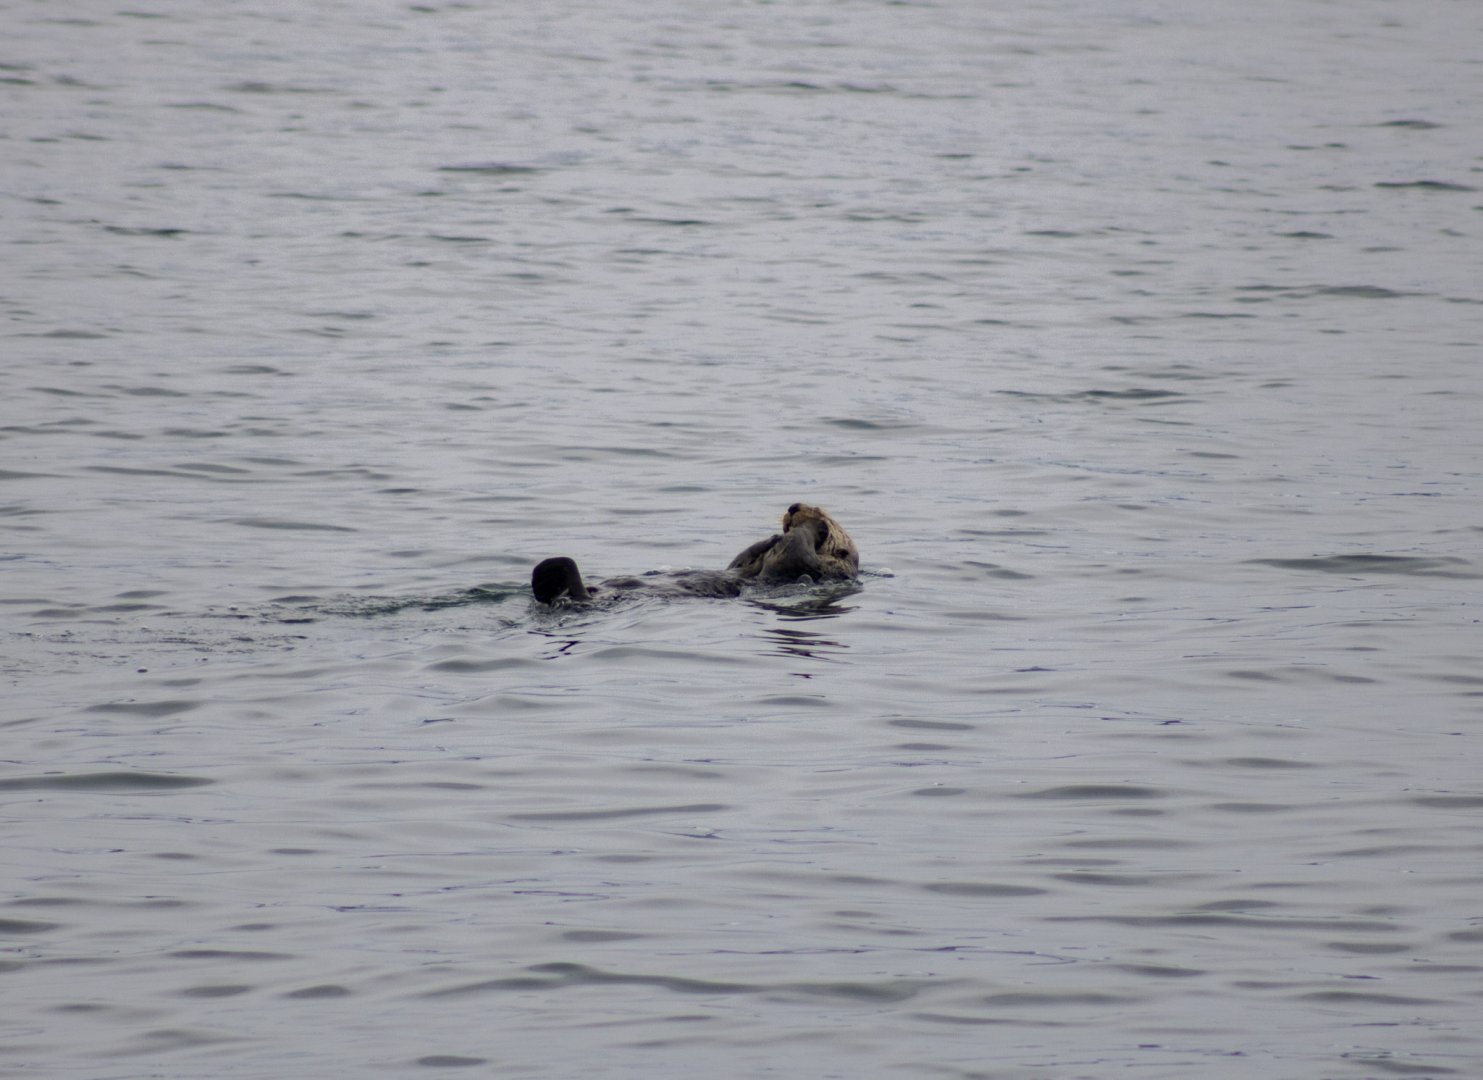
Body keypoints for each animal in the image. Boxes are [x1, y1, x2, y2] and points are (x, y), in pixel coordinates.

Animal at [531, 503, 858, 605]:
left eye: (821, 510)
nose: (793, 507)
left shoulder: (814, 568)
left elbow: (797, 551)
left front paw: (813, 527)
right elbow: (742, 559)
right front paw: (771, 537)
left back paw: (549, 572)